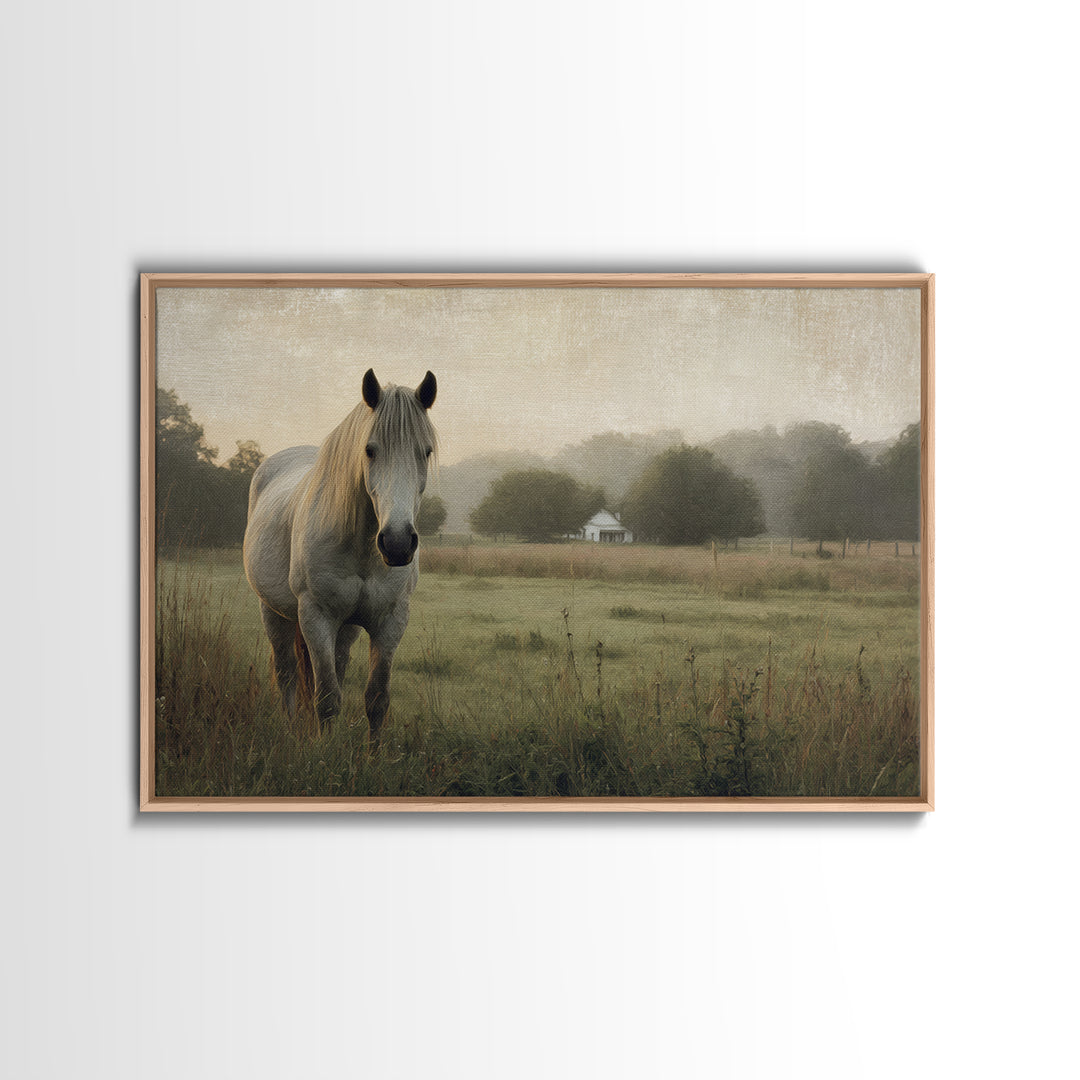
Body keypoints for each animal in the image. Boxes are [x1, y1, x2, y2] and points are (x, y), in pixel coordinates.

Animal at [242, 369, 438, 744]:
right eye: (370, 450)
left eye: (426, 451)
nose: (397, 543)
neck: (362, 548)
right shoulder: (316, 617)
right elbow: (327, 699)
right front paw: (324, 751)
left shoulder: (390, 621)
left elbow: (376, 699)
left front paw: (373, 754)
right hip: (273, 612)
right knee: (287, 674)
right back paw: (291, 731)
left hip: (346, 628)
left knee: (337, 665)